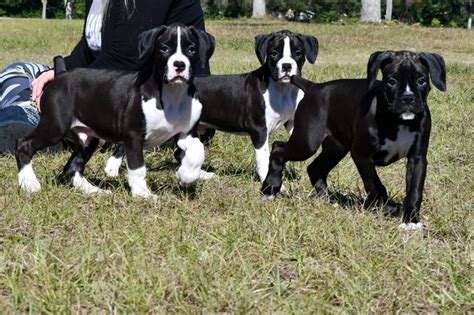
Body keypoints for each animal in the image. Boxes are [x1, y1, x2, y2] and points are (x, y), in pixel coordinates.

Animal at [14, 24, 215, 200]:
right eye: (164, 48)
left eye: (192, 49)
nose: (179, 65)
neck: (173, 93)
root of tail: (61, 74)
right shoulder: (134, 136)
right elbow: (137, 168)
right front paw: (142, 194)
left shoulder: (187, 133)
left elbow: (198, 150)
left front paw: (187, 175)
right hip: (55, 127)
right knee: (24, 144)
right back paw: (29, 183)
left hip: (88, 138)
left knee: (72, 167)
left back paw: (94, 191)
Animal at [262, 50, 446, 231]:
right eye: (391, 81)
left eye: (422, 81)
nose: (408, 98)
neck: (399, 121)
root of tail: (314, 86)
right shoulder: (361, 155)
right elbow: (375, 184)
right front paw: (384, 206)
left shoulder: (417, 159)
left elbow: (414, 190)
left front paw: (410, 221)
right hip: (307, 142)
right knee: (278, 148)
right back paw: (270, 188)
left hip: (336, 148)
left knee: (315, 168)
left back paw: (327, 198)